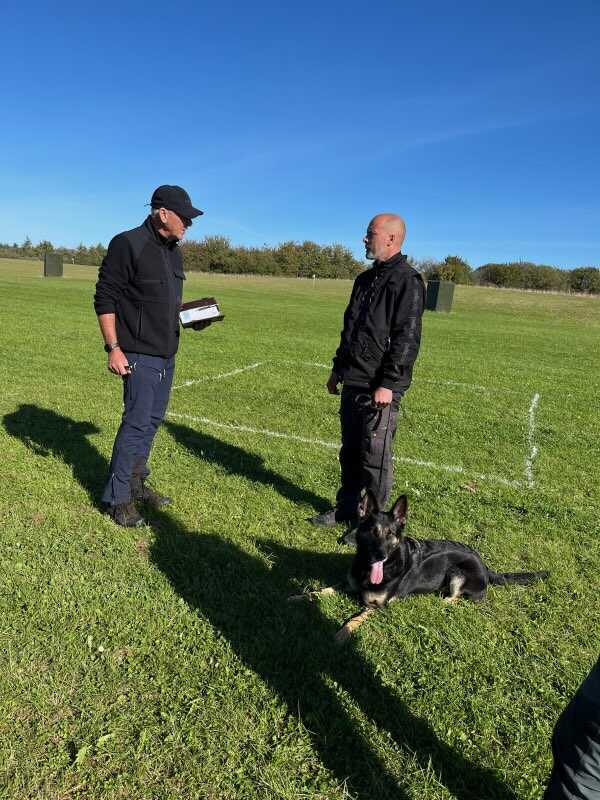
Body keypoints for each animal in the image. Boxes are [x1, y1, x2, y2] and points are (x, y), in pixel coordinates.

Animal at [292, 491, 549, 643]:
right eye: (373, 532)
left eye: (391, 534)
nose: (381, 555)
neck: (369, 569)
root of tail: (486, 566)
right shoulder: (348, 584)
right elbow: (320, 590)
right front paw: (297, 597)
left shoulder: (378, 606)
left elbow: (353, 619)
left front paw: (341, 634)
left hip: (457, 573)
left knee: (457, 598)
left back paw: (442, 601)